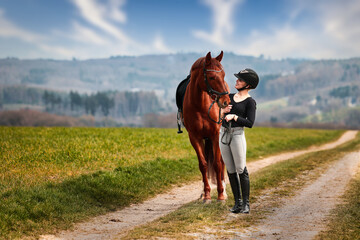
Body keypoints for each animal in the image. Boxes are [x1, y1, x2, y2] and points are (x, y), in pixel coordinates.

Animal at [183, 51, 231, 202]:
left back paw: (224, 190)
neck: (200, 106)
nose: (226, 101)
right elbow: (203, 164)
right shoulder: (195, 138)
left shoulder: (215, 136)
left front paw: (221, 195)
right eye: (211, 77)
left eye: (223, 75)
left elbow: (217, 164)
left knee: (222, 162)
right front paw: (207, 194)